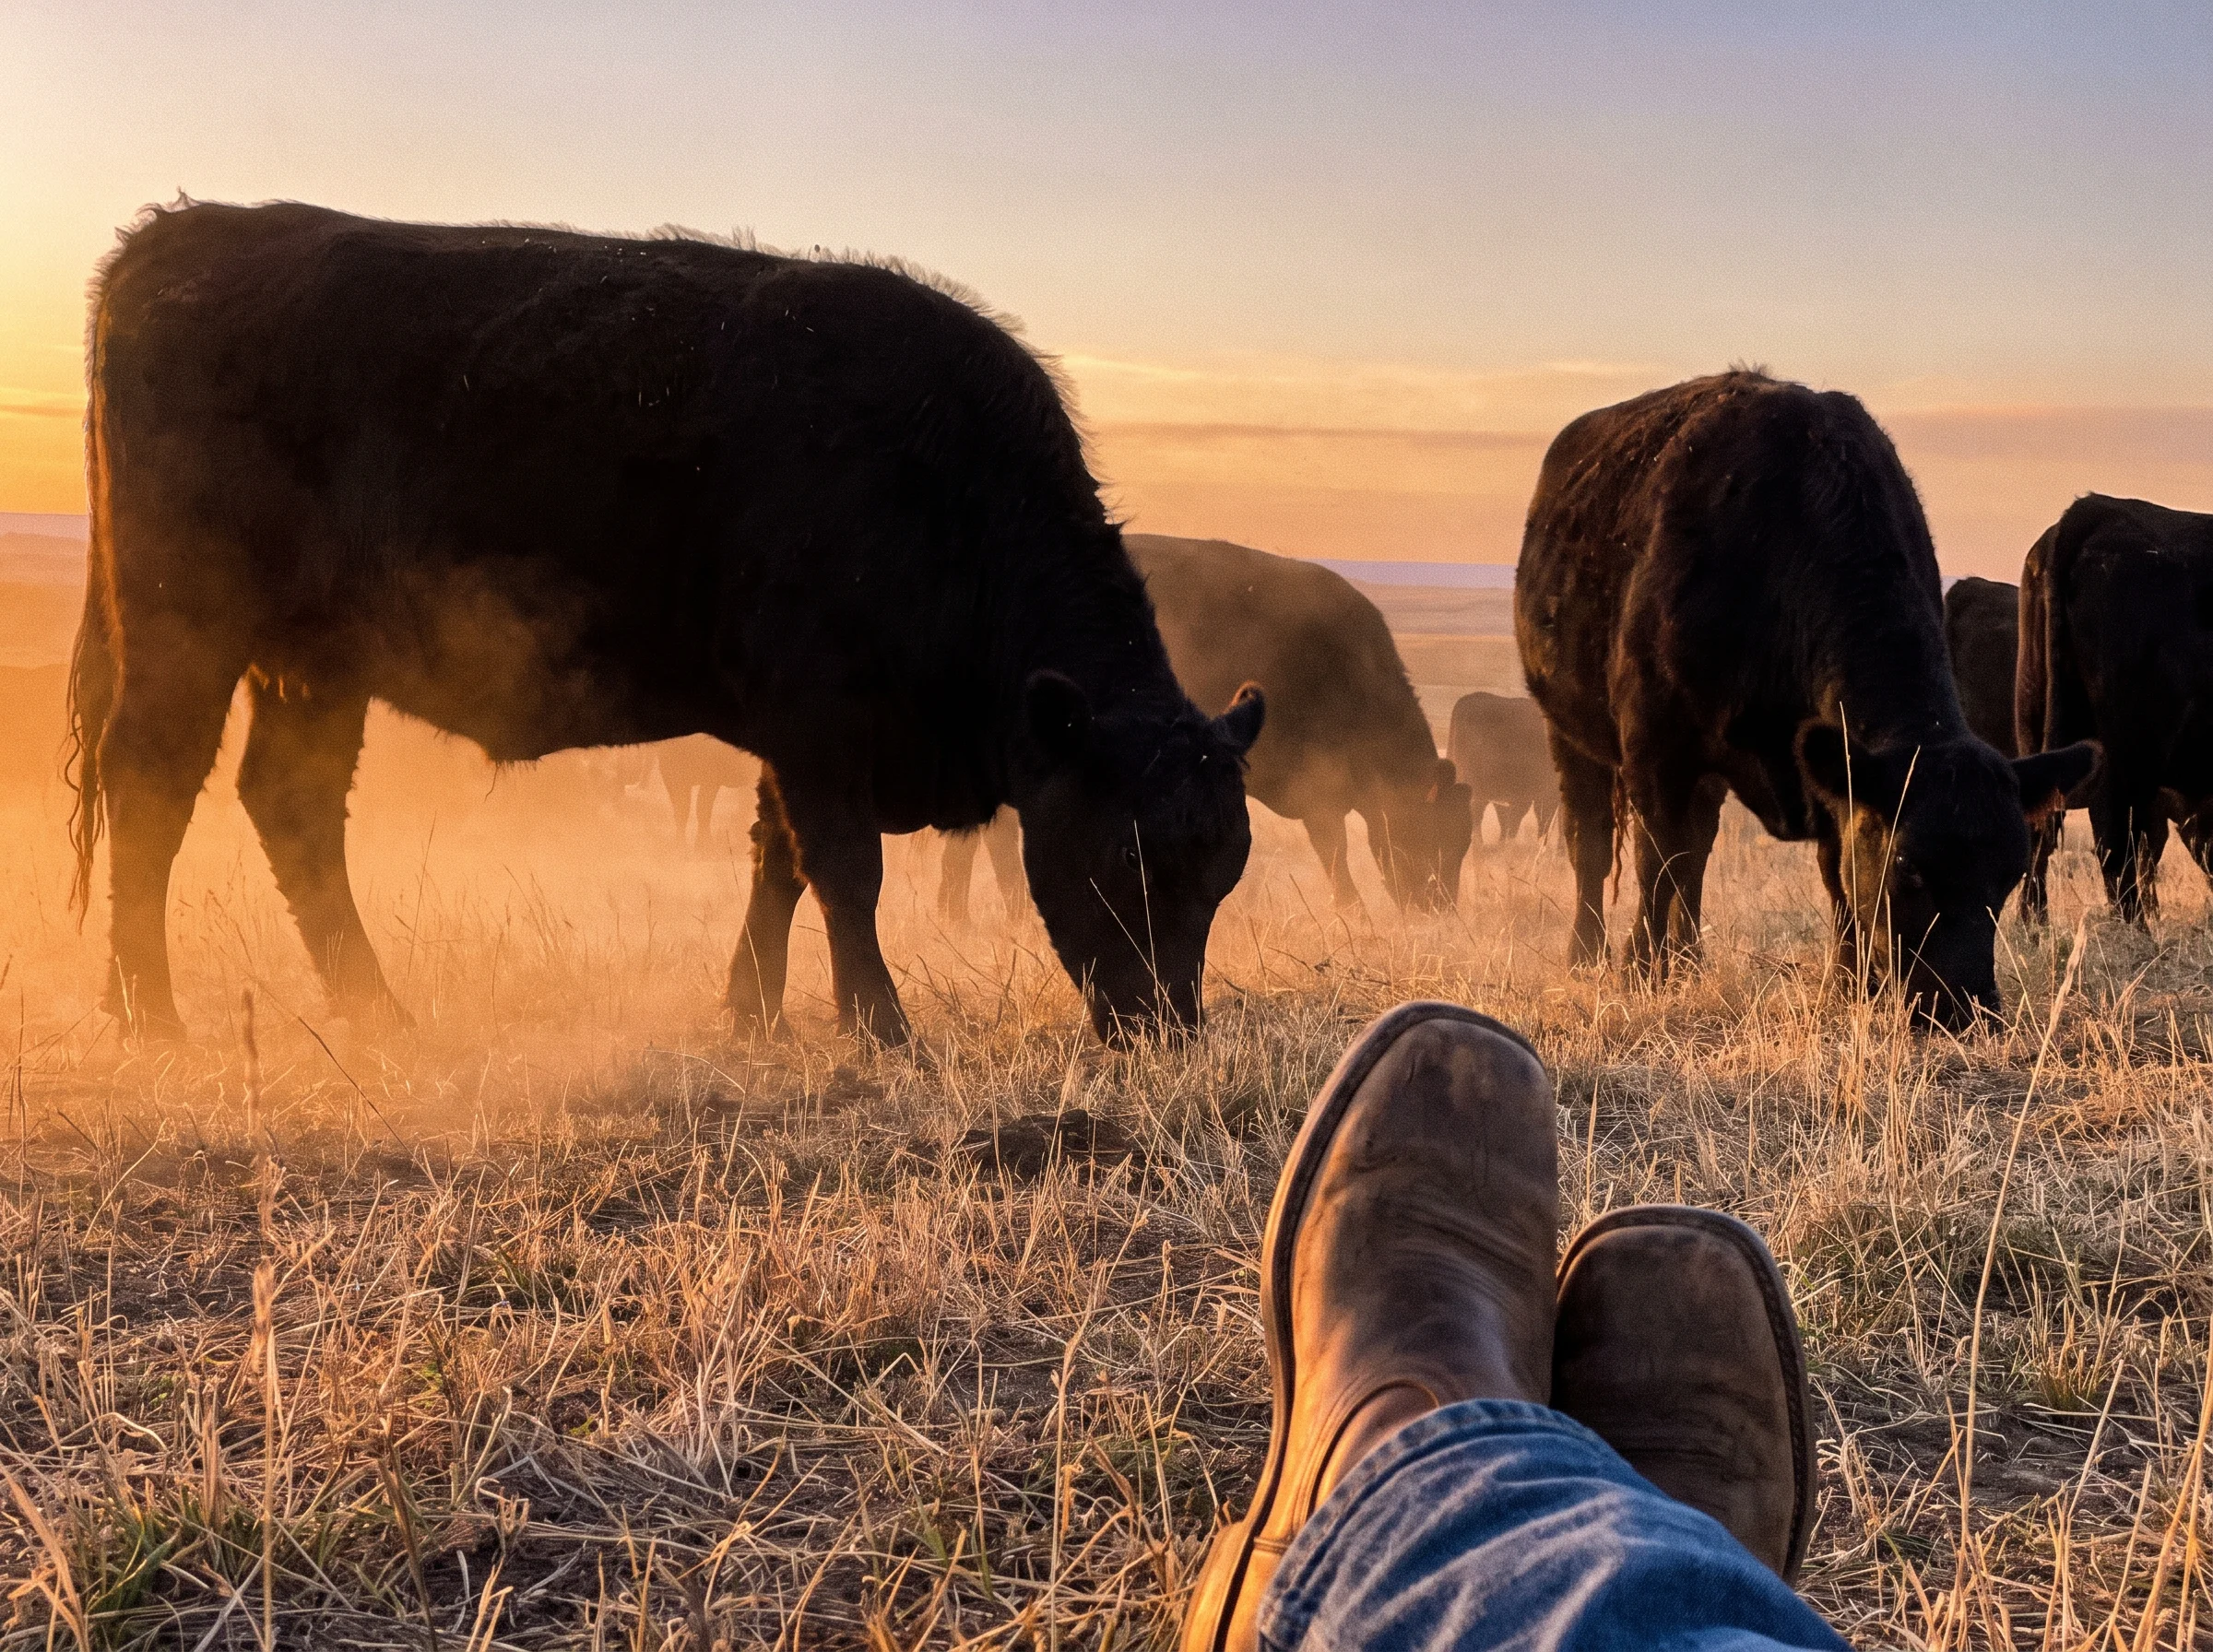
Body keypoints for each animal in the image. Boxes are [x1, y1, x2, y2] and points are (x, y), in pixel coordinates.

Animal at [68, 201, 1264, 1045]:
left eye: (1224, 870)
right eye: (1129, 853)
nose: (1166, 1030)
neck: (944, 489)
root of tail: (178, 236)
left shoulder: (796, 740)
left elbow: (775, 862)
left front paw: (752, 1013)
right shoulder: (820, 725)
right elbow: (843, 869)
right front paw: (881, 1029)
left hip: (317, 667)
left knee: (294, 804)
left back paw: (378, 1011)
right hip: (188, 636)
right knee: (153, 784)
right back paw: (151, 1014)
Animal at [2017, 495, 2213, 926]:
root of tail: (2096, 508)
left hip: (2037, 721)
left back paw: (2032, 925)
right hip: (2129, 750)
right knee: (2117, 842)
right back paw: (2136, 930)